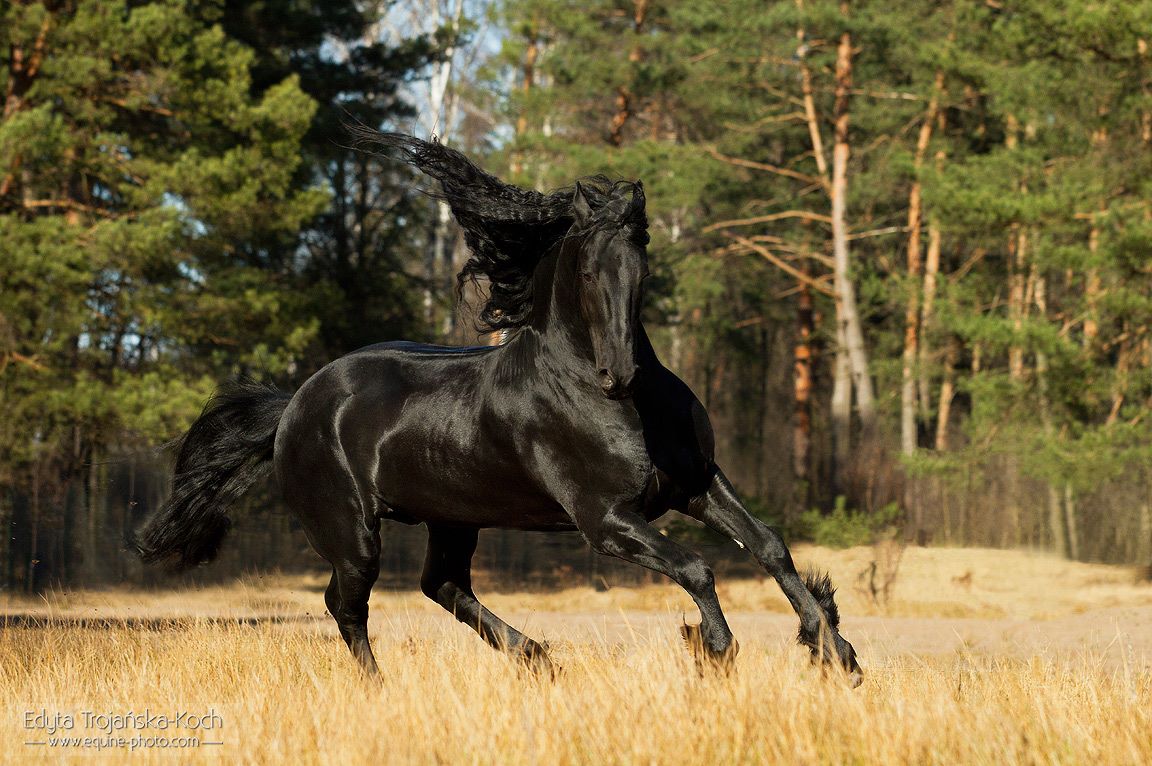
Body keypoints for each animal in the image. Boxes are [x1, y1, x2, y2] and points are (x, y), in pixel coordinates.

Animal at [135, 133, 861, 685]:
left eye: (643, 264)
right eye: (590, 272)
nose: (619, 373)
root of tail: (296, 405)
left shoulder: (695, 484)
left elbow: (769, 546)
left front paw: (835, 653)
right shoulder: (605, 519)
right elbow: (697, 566)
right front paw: (715, 651)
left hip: (453, 516)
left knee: (442, 585)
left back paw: (537, 656)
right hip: (351, 531)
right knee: (347, 602)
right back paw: (383, 687)